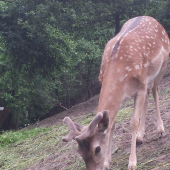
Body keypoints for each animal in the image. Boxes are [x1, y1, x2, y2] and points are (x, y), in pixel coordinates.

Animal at [61, 15, 169, 169]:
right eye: (79, 152)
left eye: (97, 149)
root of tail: (152, 19)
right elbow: (111, 125)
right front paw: (107, 162)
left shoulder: (140, 88)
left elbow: (133, 122)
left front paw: (132, 163)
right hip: (147, 79)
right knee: (149, 93)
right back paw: (140, 137)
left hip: (162, 66)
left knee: (155, 90)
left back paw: (160, 130)